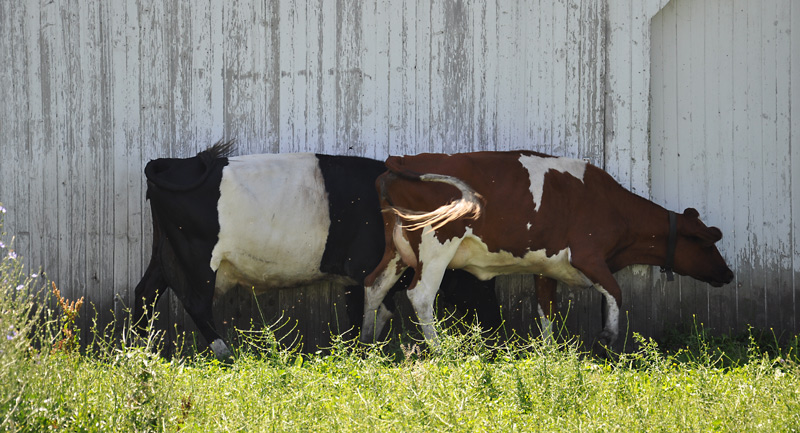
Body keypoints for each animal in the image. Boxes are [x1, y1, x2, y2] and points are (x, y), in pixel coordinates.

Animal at [134, 141, 500, 361]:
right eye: (479, 279)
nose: (495, 328)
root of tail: (168, 163)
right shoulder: (360, 272)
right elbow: (367, 311)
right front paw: (359, 351)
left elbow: (377, 311)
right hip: (198, 259)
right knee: (196, 303)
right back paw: (225, 353)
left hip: (165, 253)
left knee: (145, 291)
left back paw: (138, 349)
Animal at [360, 150, 734, 349]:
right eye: (707, 242)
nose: (729, 273)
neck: (611, 204)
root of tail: (401, 160)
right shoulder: (588, 255)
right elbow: (615, 292)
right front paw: (607, 339)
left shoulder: (546, 268)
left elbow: (546, 313)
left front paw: (550, 353)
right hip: (436, 244)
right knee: (421, 294)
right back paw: (440, 350)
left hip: (396, 252)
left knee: (374, 285)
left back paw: (365, 343)